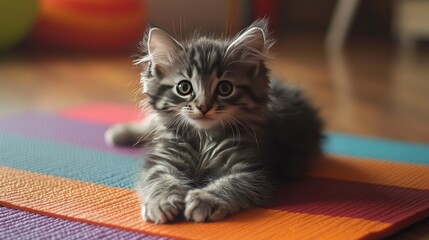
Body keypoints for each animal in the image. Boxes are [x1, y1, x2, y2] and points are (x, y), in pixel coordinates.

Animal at [105, 19, 322, 224]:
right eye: (184, 87)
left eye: (225, 88)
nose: (203, 106)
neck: (204, 138)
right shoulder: (162, 161)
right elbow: (160, 180)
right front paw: (161, 202)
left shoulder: (254, 172)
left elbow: (231, 184)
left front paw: (206, 199)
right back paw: (119, 133)